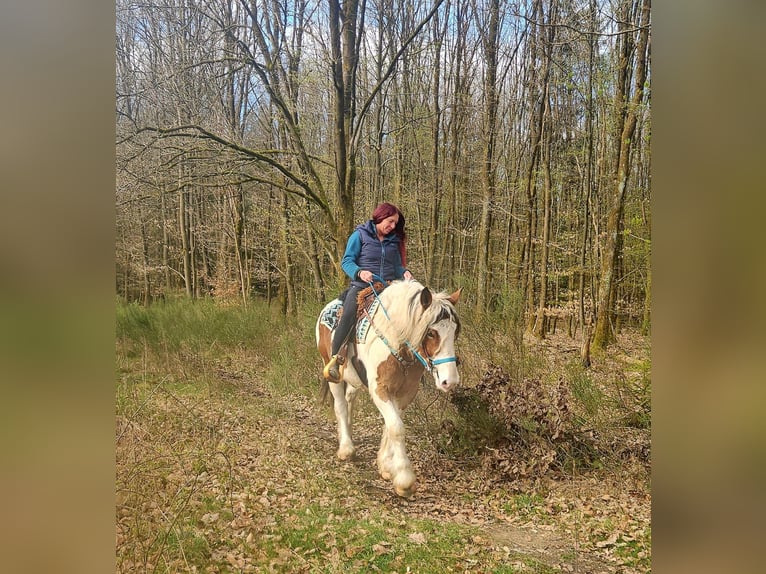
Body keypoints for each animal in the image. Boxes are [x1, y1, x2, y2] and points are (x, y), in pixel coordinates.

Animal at [315, 279, 462, 497]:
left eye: (455, 332)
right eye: (431, 332)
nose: (449, 381)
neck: (397, 342)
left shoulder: (405, 393)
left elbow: (390, 425)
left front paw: (385, 465)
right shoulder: (380, 390)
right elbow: (397, 427)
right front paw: (404, 479)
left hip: (353, 379)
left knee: (350, 399)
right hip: (332, 372)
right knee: (340, 406)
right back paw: (346, 448)